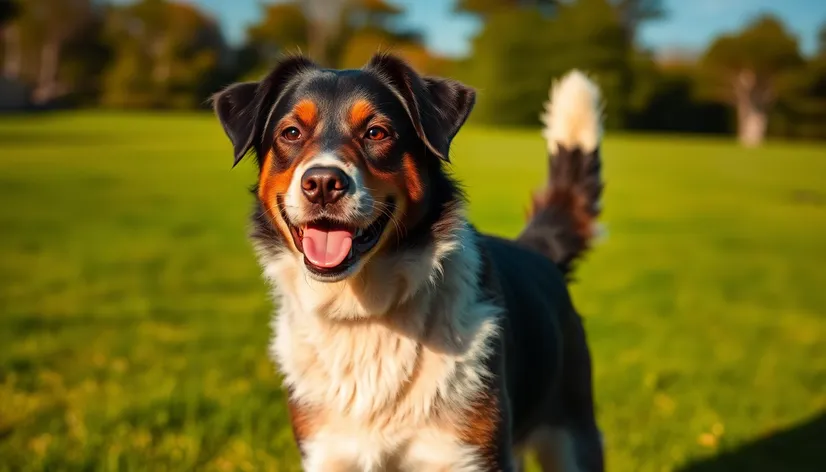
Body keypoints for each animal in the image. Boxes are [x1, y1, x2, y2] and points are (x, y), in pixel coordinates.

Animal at [214, 52, 604, 472]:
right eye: (290, 133)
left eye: (376, 133)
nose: (321, 184)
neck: (364, 314)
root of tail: (538, 250)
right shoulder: (327, 452)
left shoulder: (471, 456)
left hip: (573, 438)